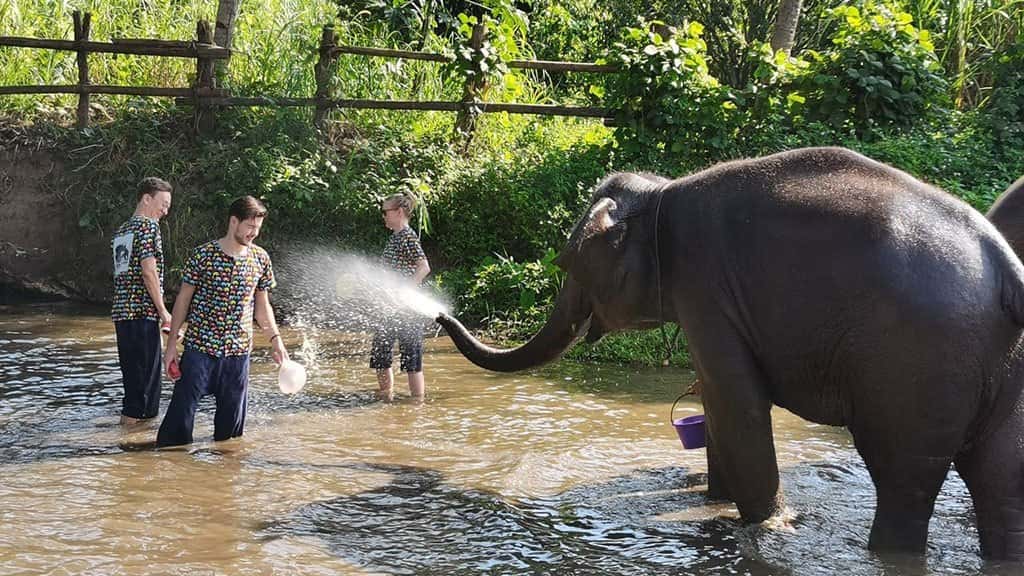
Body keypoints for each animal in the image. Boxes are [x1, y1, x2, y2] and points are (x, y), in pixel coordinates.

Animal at [436, 147, 1024, 560]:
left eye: (568, 265)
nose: (440, 316)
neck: (662, 193)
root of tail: (1005, 265)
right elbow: (716, 408)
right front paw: (714, 502)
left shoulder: (704, 285)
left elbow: (736, 405)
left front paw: (768, 525)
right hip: (1001, 368)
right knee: (1002, 481)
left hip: (914, 369)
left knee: (904, 482)